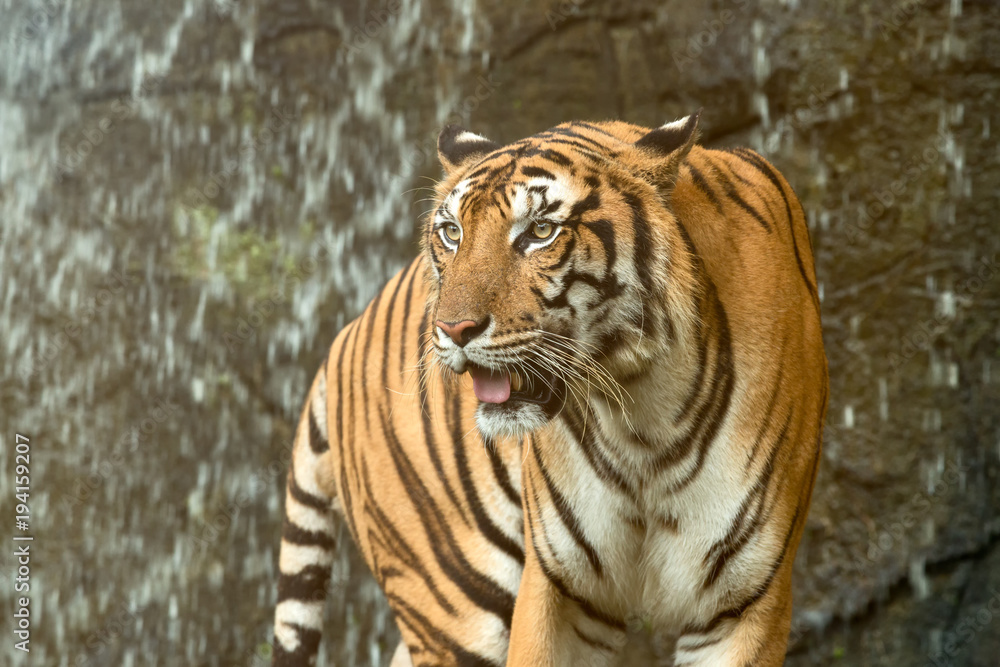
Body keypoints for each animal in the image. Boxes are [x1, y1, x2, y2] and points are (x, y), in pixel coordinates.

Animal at [271, 112, 828, 667]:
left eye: (539, 231)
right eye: (452, 233)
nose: (451, 329)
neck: (642, 417)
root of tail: (345, 333)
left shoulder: (746, 599)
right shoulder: (558, 586)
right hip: (454, 594)